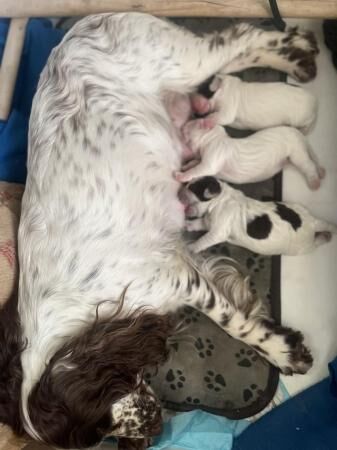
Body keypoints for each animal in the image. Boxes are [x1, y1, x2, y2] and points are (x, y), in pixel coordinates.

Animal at [182, 176, 334, 255]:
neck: (219, 201)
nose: (183, 186)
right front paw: (187, 224)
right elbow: (199, 223)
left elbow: (204, 240)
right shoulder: (209, 222)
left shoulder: (218, 232)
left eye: (192, 187)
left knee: (316, 243)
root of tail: (313, 222)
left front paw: (191, 247)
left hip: (301, 247)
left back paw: (325, 237)